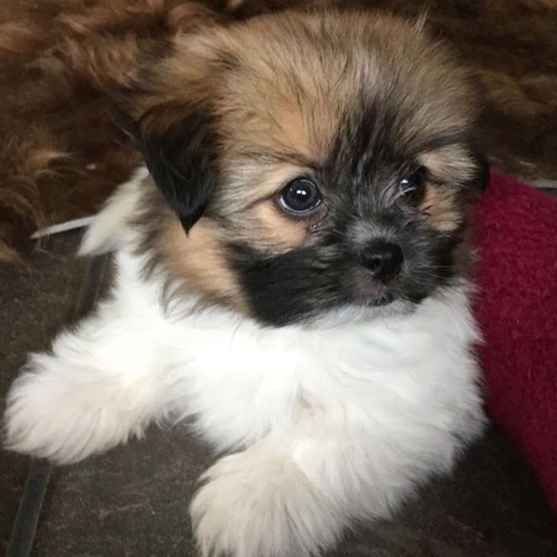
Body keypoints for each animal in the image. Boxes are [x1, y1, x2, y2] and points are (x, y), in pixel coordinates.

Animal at [3, 8, 486, 556]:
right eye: (300, 194)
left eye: (414, 183)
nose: (385, 255)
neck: (274, 324)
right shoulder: (152, 312)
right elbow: (130, 344)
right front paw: (67, 395)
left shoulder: (418, 400)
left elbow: (323, 442)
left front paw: (257, 498)